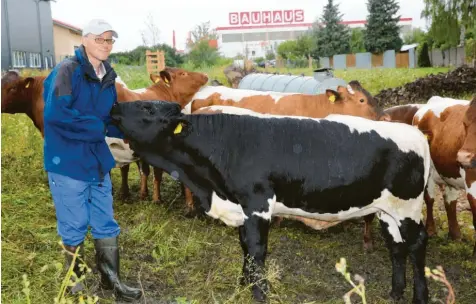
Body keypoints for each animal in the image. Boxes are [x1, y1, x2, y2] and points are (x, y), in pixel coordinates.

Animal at [110, 100, 432, 304]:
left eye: (148, 108)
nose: (113, 106)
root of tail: (414, 131)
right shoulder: (242, 207)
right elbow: (244, 248)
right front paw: (244, 284)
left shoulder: (257, 203)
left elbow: (256, 249)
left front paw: (259, 293)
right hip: (387, 211)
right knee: (396, 247)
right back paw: (395, 293)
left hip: (408, 207)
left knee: (416, 245)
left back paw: (420, 296)